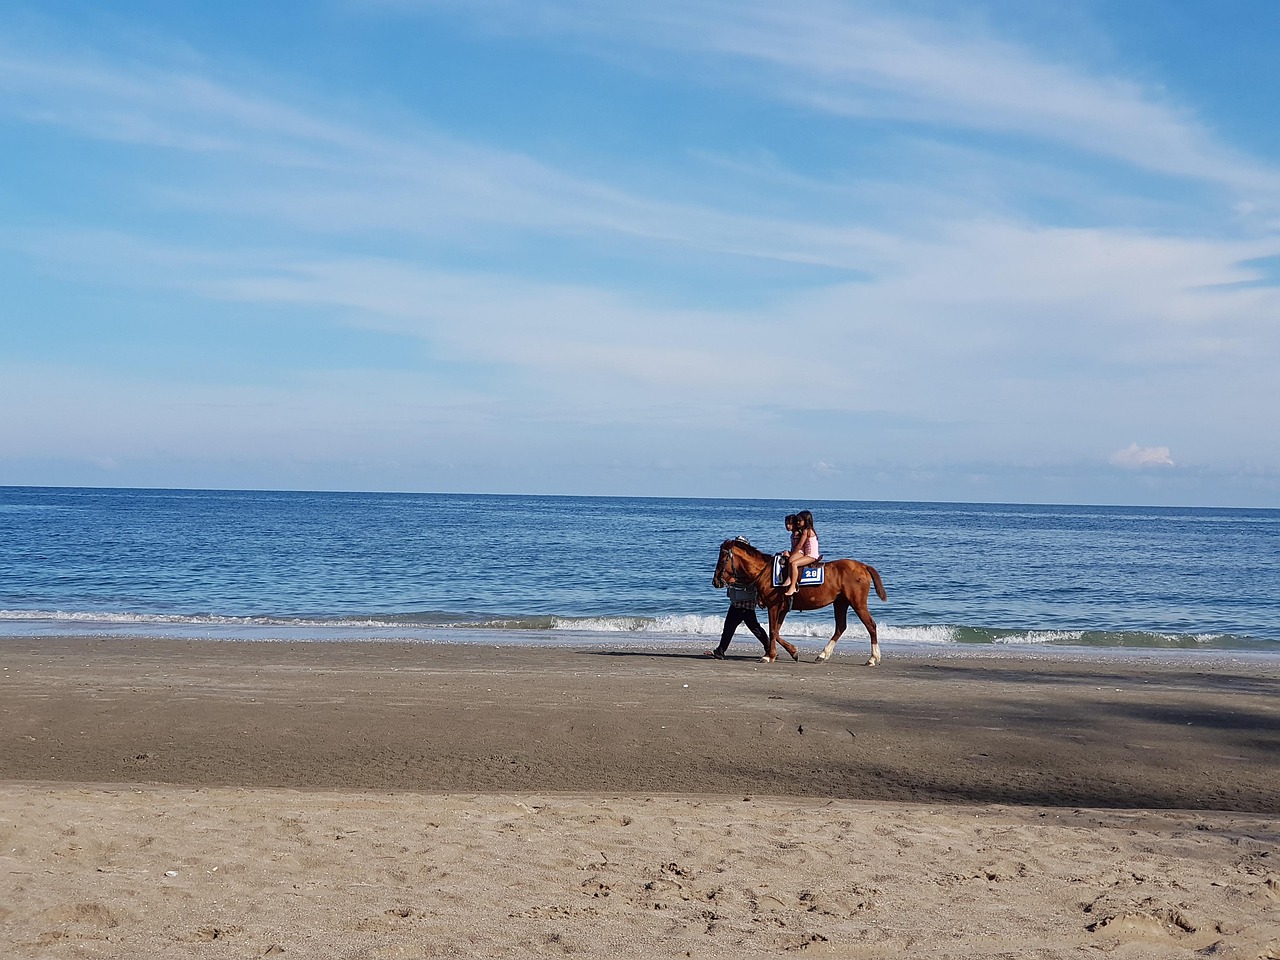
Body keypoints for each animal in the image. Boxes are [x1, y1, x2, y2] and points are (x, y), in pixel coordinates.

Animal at [711, 537, 890, 665]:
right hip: (840, 603)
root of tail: (863, 566)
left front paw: (770, 656)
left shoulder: (774, 607)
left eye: (722, 558)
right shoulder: (782, 608)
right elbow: (776, 632)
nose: (715, 581)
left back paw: (873, 658)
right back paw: (823, 654)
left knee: (871, 626)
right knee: (840, 627)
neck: (766, 572)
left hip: (858, 603)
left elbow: (772, 631)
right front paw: (791, 651)